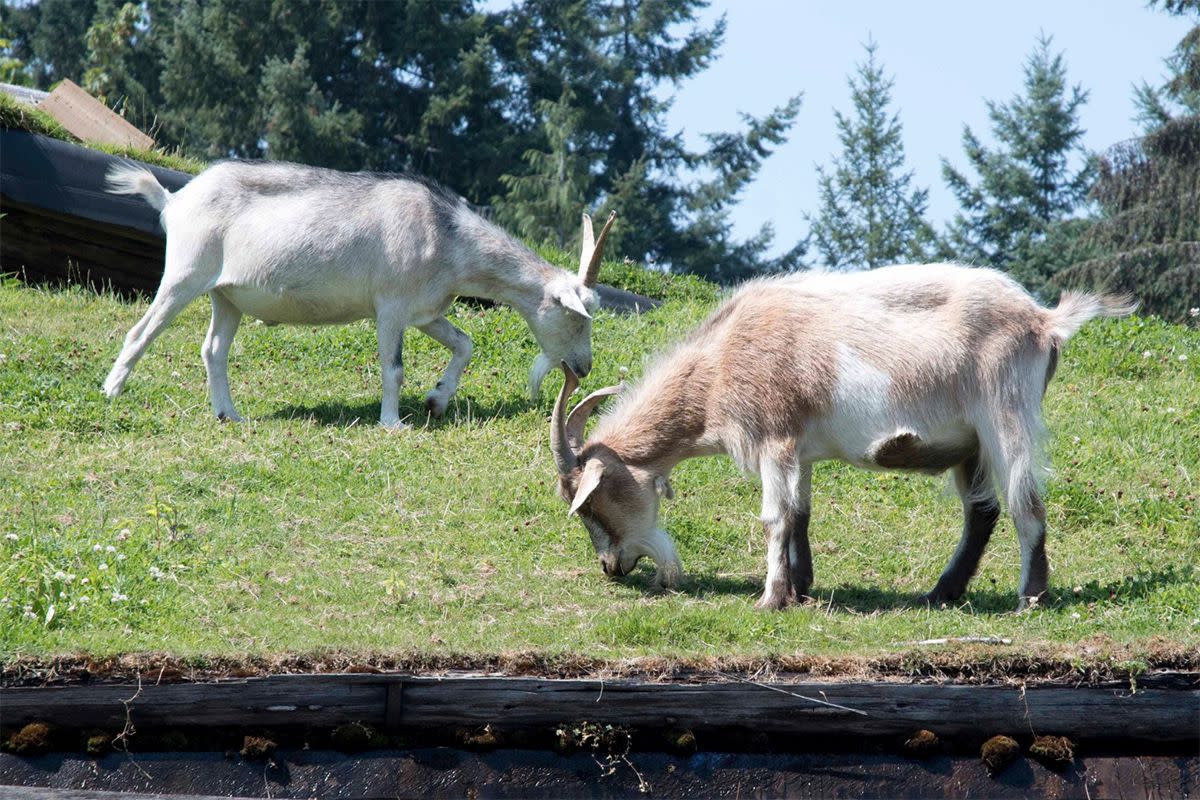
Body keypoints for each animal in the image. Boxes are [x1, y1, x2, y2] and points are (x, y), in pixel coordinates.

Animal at [552, 262, 1132, 606]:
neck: (720, 360)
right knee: (983, 512)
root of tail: (1044, 320)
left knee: (1025, 504)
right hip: (970, 442)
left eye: (589, 503)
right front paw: (801, 586)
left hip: (1005, 415)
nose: (611, 567)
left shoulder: (775, 437)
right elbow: (800, 513)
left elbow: (774, 517)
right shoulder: (799, 449)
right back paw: (941, 592)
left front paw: (771, 598)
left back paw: (1028, 598)